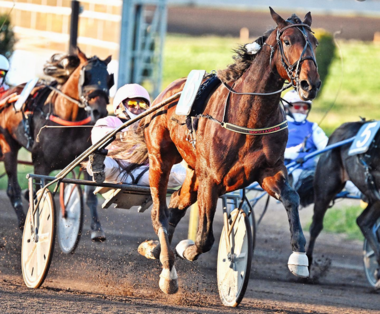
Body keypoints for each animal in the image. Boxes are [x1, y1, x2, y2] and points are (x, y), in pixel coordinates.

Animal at [0, 48, 110, 240]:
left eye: (108, 78)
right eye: (86, 75)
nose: (99, 111)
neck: (68, 120)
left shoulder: (85, 159)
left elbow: (90, 195)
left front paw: (97, 228)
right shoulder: (41, 163)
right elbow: (39, 194)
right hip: (8, 146)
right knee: (13, 189)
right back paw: (22, 222)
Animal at [121, 8, 320, 294]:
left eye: (314, 43)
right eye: (287, 41)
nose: (309, 84)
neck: (249, 117)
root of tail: (166, 94)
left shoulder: (269, 171)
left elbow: (291, 198)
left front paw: (300, 259)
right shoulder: (212, 179)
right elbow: (204, 237)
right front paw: (188, 249)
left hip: (194, 171)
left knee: (177, 202)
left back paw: (156, 248)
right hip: (160, 160)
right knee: (160, 213)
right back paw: (168, 272)